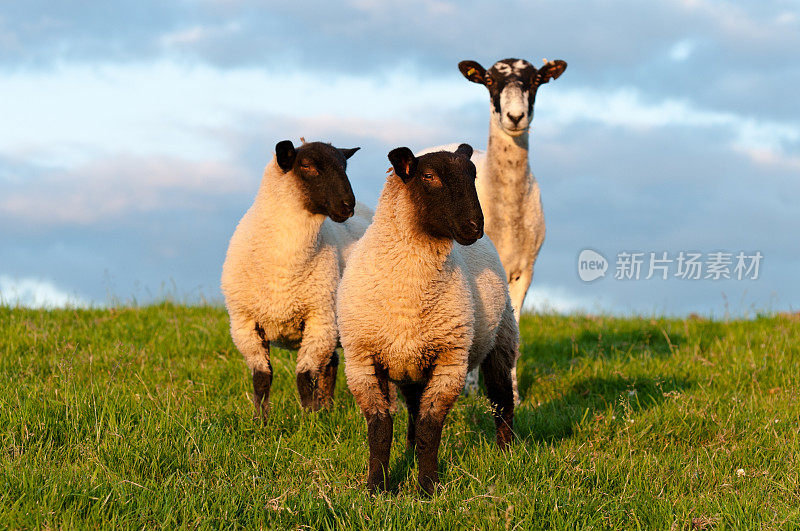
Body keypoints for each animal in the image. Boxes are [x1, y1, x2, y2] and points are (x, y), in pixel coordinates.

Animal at [219, 139, 368, 422]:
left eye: (344, 166)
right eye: (307, 166)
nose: (347, 205)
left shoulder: (319, 321)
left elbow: (304, 377)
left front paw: (308, 419)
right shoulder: (245, 324)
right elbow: (262, 378)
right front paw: (260, 420)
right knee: (331, 364)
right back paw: (326, 409)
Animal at [336, 144, 520, 494]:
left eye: (473, 174)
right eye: (429, 176)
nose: (474, 227)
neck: (407, 297)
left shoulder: (450, 361)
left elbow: (429, 429)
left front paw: (427, 489)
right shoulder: (362, 361)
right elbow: (380, 431)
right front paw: (376, 488)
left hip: (501, 339)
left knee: (502, 399)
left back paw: (508, 454)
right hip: (411, 365)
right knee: (412, 406)